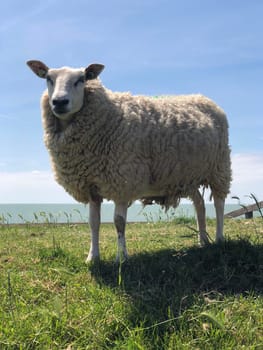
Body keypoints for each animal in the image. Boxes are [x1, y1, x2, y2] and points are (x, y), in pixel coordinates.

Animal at [26, 60, 232, 262]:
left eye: (81, 79)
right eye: (48, 78)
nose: (59, 102)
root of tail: (202, 98)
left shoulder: (123, 181)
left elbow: (119, 222)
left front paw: (122, 257)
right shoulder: (91, 185)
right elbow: (93, 222)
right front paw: (93, 257)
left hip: (219, 167)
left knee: (219, 203)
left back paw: (219, 239)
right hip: (187, 176)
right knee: (200, 204)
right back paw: (203, 240)